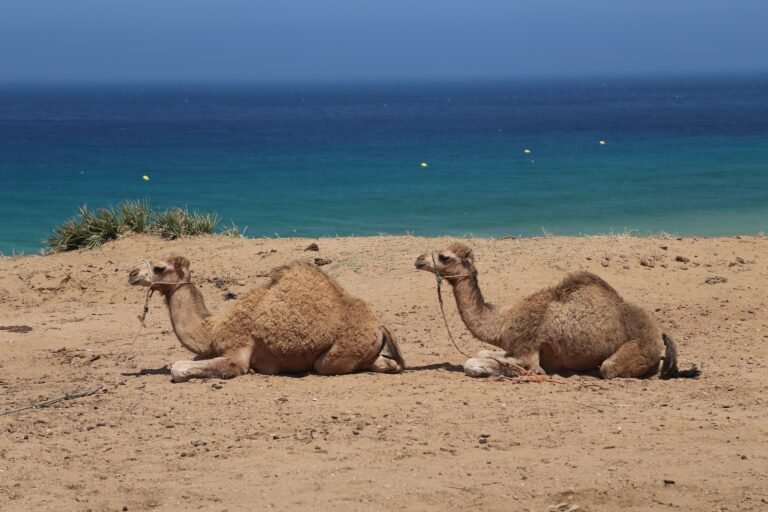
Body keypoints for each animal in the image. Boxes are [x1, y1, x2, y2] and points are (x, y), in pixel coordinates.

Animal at [128, 255, 405, 382]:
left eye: (159, 268)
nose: (131, 273)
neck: (213, 329)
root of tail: (379, 325)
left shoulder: (237, 355)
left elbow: (178, 367)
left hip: (334, 356)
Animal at [415, 242, 699, 379]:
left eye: (445, 257)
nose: (418, 259)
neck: (503, 322)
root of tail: (659, 331)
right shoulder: (512, 346)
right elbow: (481, 353)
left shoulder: (528, 351)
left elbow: (475, 362)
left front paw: (492, 370)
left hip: (633, 350)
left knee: (609, 368)